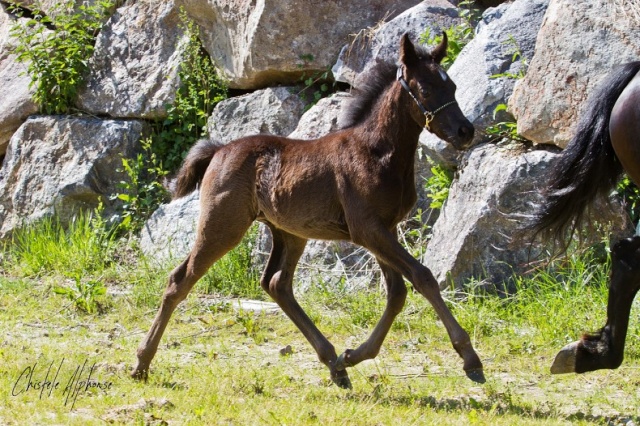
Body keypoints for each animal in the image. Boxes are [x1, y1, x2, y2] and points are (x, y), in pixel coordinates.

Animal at [132, 33, 482, 388]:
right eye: (426, 89)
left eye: (452, 86)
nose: (465, 131)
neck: (376, 152)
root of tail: (219, 149)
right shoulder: (368, 230)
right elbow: (422, 277)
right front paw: (470, 358)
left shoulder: (386, 229)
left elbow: (397, 293)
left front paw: (354, 355)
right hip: (222, 224)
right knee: (180, 280)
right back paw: (141, 363)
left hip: (289, 233)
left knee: (276, 284)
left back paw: (334, 363)